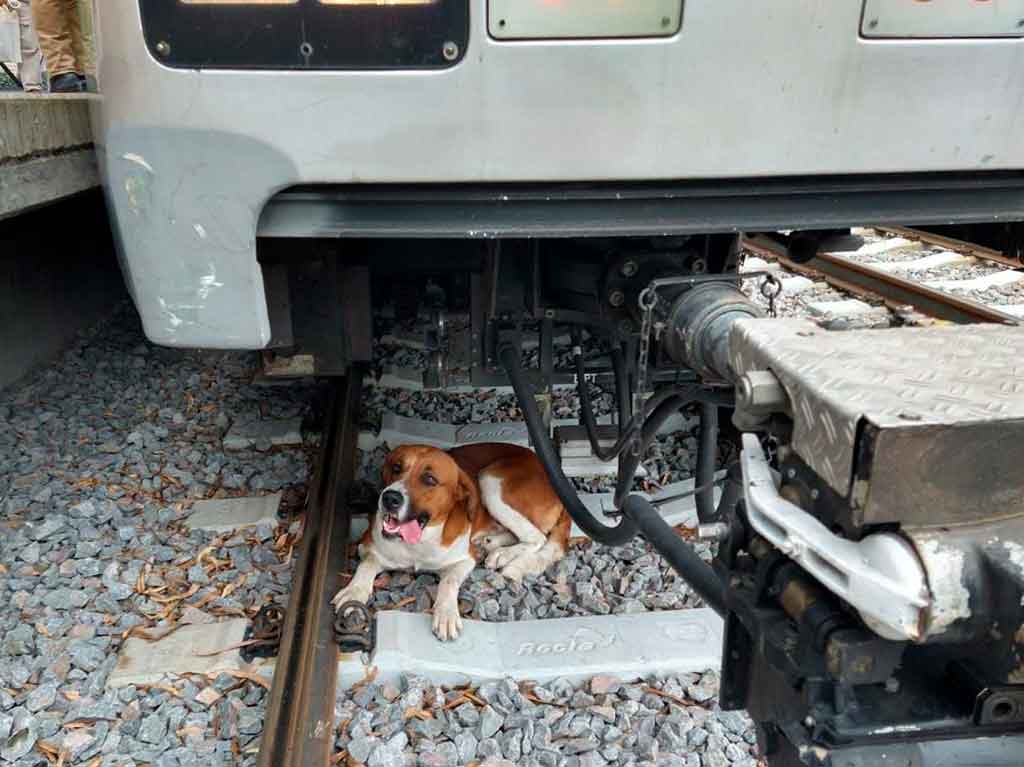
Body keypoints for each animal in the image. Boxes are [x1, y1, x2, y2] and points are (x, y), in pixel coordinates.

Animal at [331, 442, 569, 638]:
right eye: (396, 468)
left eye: (429, 479)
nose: (389, 498)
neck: (420, 540)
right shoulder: (367, 544)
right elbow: (367, 563)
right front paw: (354, 591)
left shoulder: (464, 560)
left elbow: (449, 581)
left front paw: (446, 613)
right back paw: (490, 542)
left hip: (489, 481)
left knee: (536, 537)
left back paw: (503, 553)